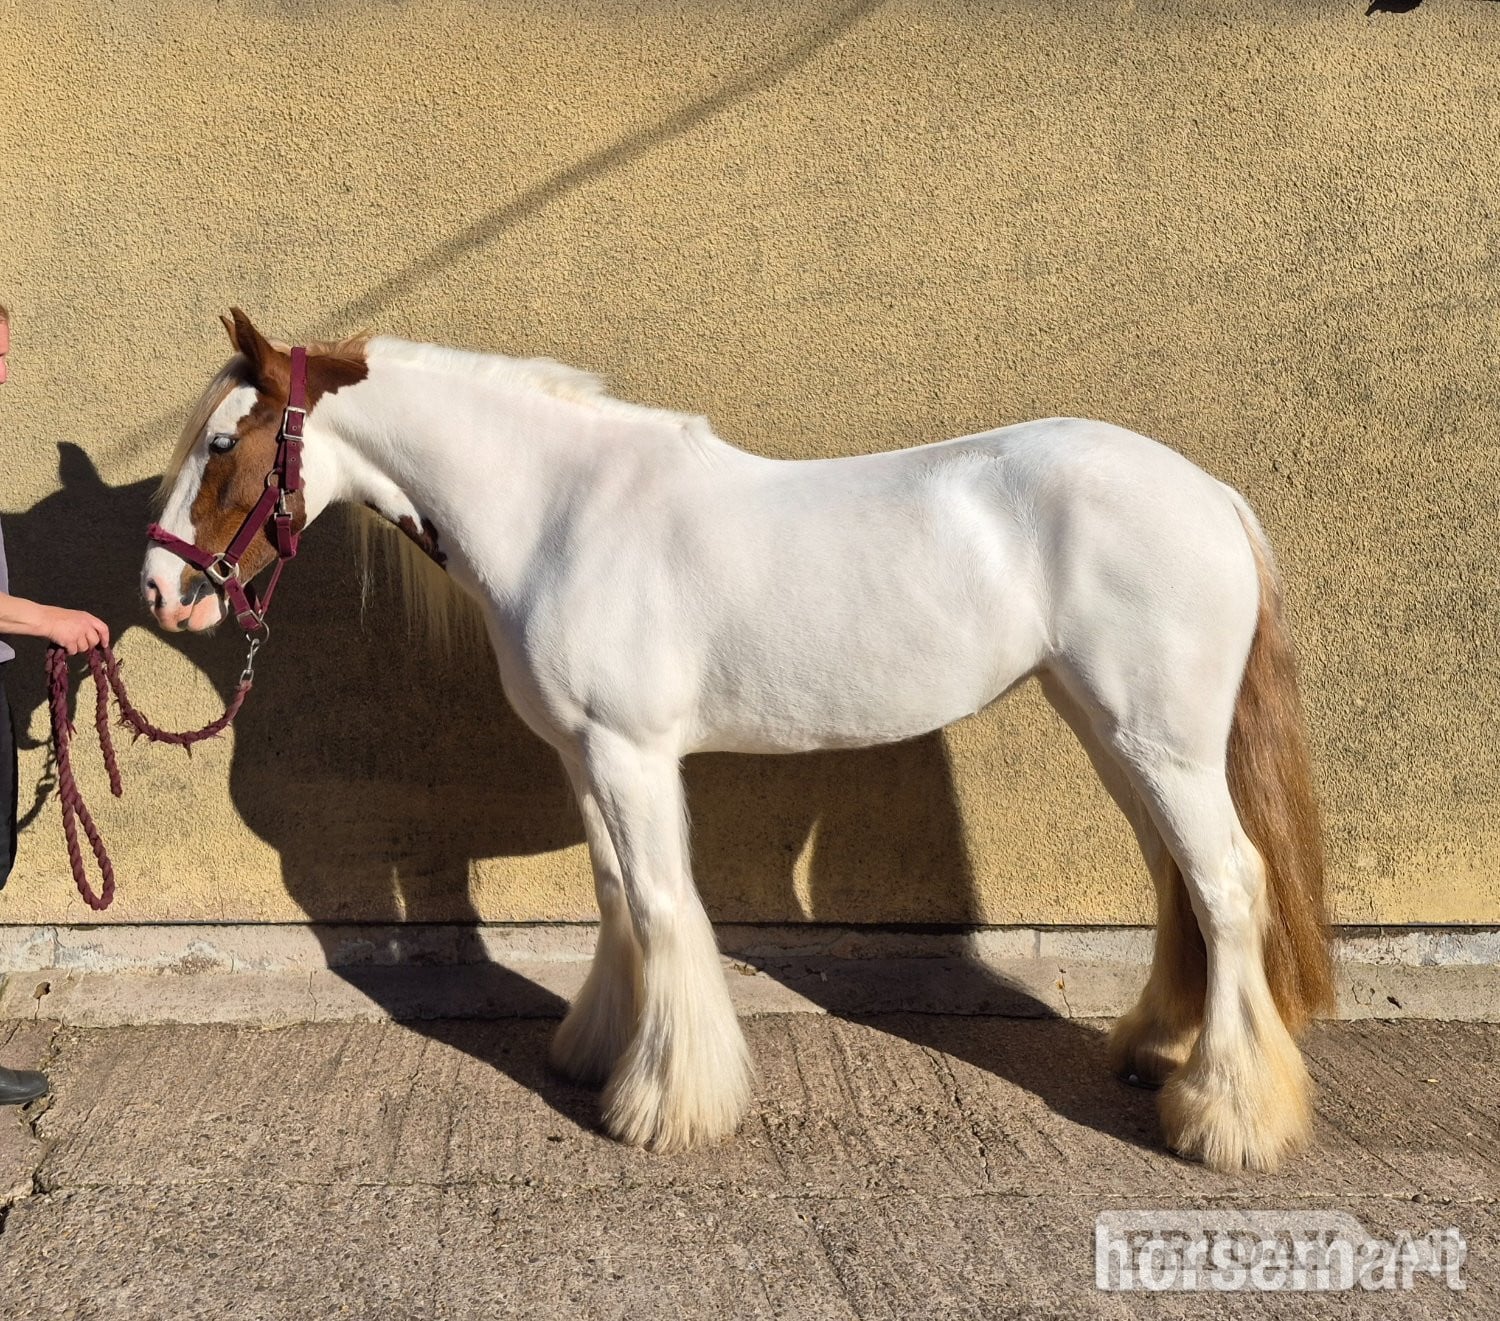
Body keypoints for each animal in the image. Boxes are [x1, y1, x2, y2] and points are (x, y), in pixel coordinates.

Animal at [144, 309, 1333, 1172]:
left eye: (223, 442)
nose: (160, 591)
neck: (559, 510)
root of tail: (1211, 495)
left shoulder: (630, 752)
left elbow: (665, 904)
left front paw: (666, 1105)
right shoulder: (584, 756)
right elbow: (618, 897)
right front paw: (595, 1053)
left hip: (1159, 742)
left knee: (1229, 884)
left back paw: (1227, 1119)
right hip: (1116, 734)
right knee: (1179, 882)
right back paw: (1160, 1054)